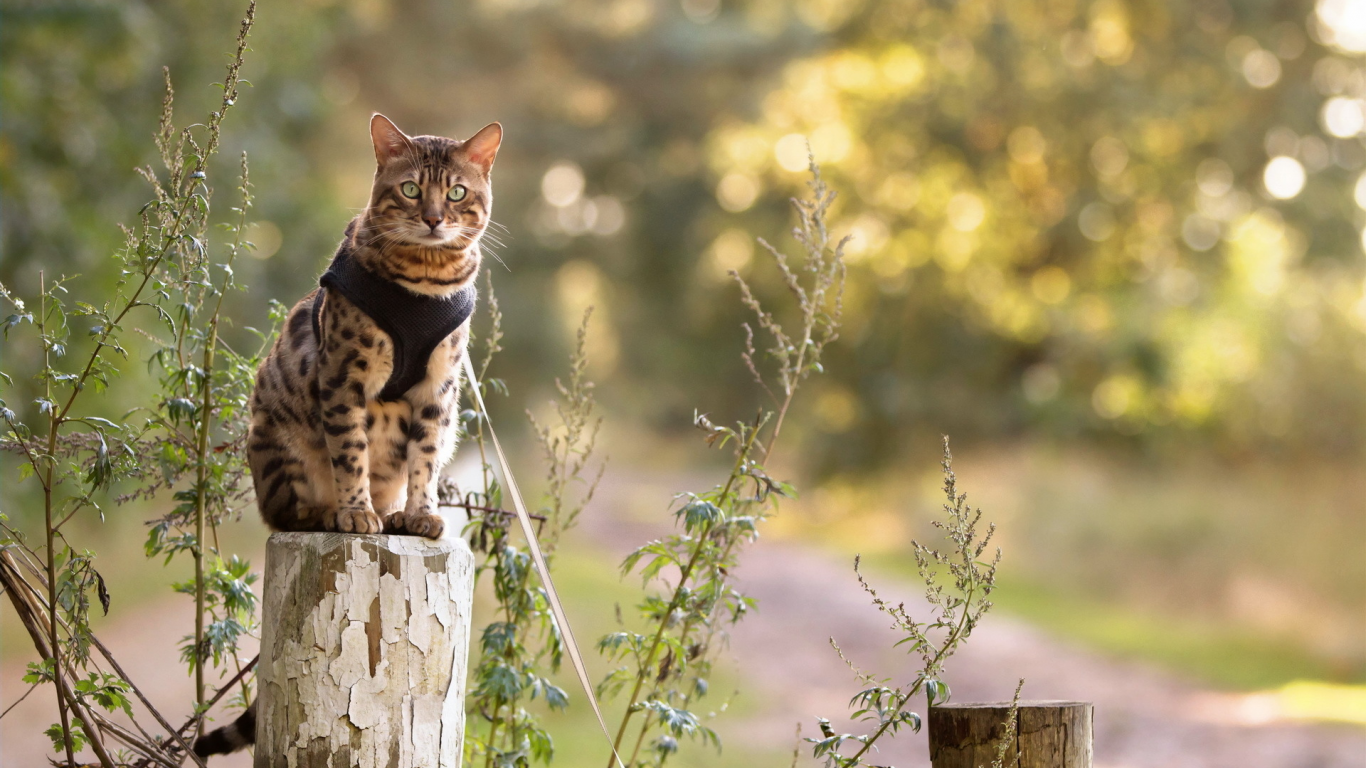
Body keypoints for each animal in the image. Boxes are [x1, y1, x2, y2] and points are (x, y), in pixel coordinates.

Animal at [195, 113, 505, 754]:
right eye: (411, 189)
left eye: (456, 192)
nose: (433, 217)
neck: (426, 278)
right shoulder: (343, 377)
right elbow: (351, 451)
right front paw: (356, 511)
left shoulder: (440, 390)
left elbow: (425, 458)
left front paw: (419, 513)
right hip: (280, 444)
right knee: (287, 512)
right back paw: (336, 512)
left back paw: (392, 515)